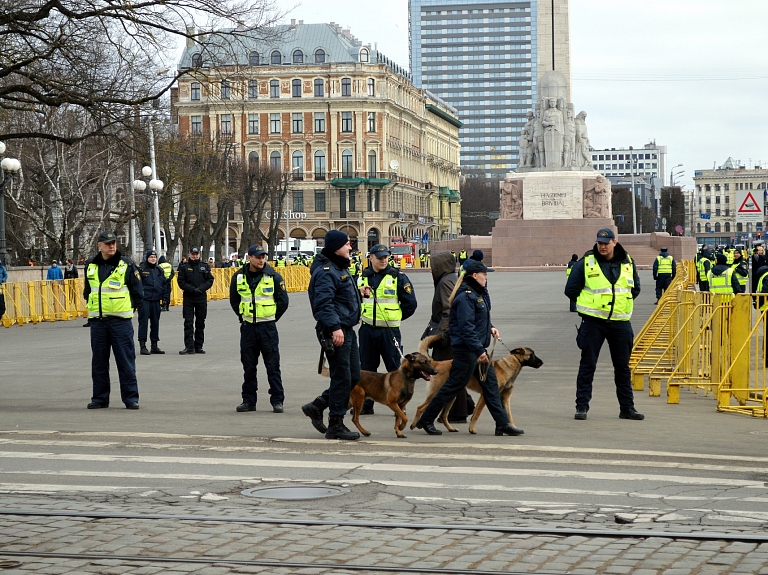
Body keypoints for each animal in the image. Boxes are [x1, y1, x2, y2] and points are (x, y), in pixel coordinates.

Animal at [412, 336, 544, 434]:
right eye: (532, 354)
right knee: (420, 407)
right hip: (437, 393)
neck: (510, 364)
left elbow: (508, 415)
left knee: (443, 415)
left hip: (452, 396)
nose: (542, 362)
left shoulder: (505, 398)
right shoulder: (485, 396)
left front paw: (512, 428)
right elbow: (477, 414)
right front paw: (472, 429)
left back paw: (450, 428)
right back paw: (415, 425)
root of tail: (437, 363)